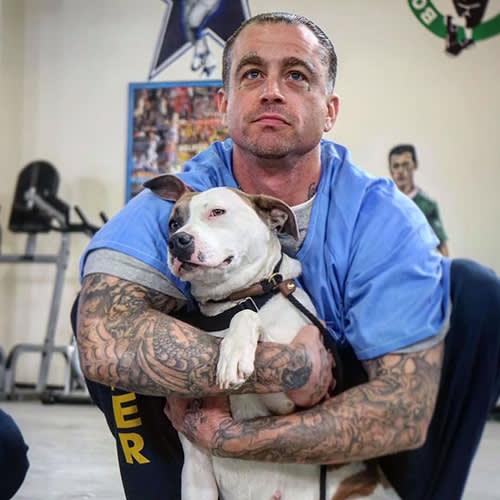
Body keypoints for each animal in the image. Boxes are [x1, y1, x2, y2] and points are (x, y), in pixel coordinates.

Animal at [145, 176, 398, 500]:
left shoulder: (295, 399)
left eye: (217, 212)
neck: (234, 300)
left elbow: (248, 317)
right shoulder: (196, 466)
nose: (177, 241)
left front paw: (234, 354)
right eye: (174, 223)